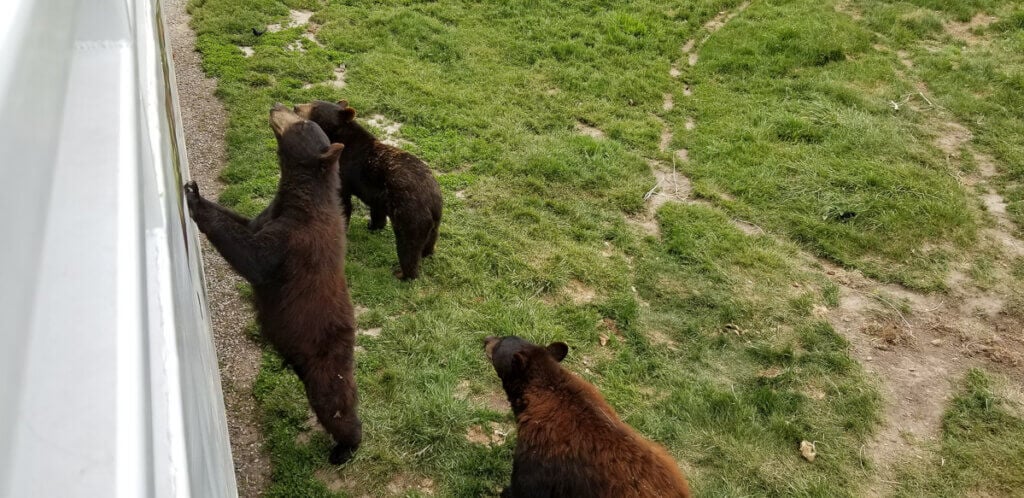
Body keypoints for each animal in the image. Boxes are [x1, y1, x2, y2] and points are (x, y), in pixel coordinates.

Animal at [182, 106, 362, 467]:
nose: (277, 105)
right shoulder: (269, 216)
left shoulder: (297, 241)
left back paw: (346, 446)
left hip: (327, 360)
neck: (300, 201)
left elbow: (255, 259)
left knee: (335, 403)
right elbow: (245, 223)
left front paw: (194, 200)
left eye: (302, 123)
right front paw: (201, 193)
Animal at [294, 100, 442, 280]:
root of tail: (432, 202)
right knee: (431, 240)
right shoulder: (379, 192)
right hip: (432, 220)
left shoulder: (345, 171)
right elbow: (376, 210)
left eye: (314, 107)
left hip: (409, 214)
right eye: (312, 102)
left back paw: (403, 273)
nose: (296, 107)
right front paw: (373, 224)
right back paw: (427, 253)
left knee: (408, 246)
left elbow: (343, 201)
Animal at [483, 334, 692, 498]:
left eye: (499, 343)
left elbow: (525, 487)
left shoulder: (538, 459)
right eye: (504, 336)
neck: (550, 389)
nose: (486, 339)